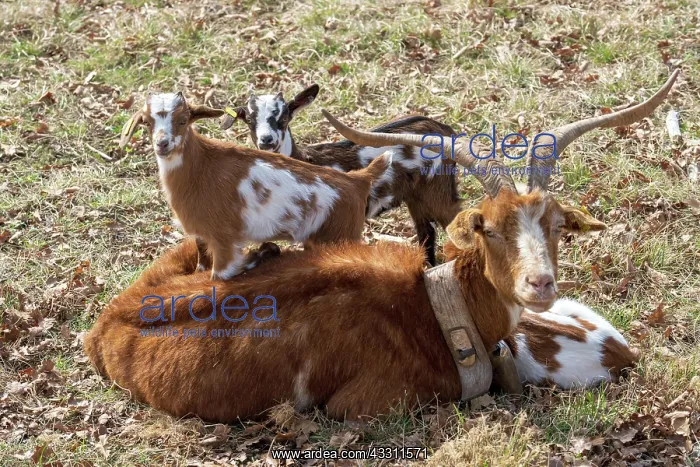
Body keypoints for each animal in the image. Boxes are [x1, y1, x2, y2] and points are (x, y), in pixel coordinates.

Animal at [119, 92, 391, 280]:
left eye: (184, 120)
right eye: (146, 122)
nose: (162, 144)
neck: (201, 167)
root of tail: (358, 180)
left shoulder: (224, 242)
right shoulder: (202, 238)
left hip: (341, 236)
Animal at [220, 84, 460, 265]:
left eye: (284, 117)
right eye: (249, 120)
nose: (267, 140)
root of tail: (445, 128)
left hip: (439, 189)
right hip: (416, 197)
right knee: (426, 233)